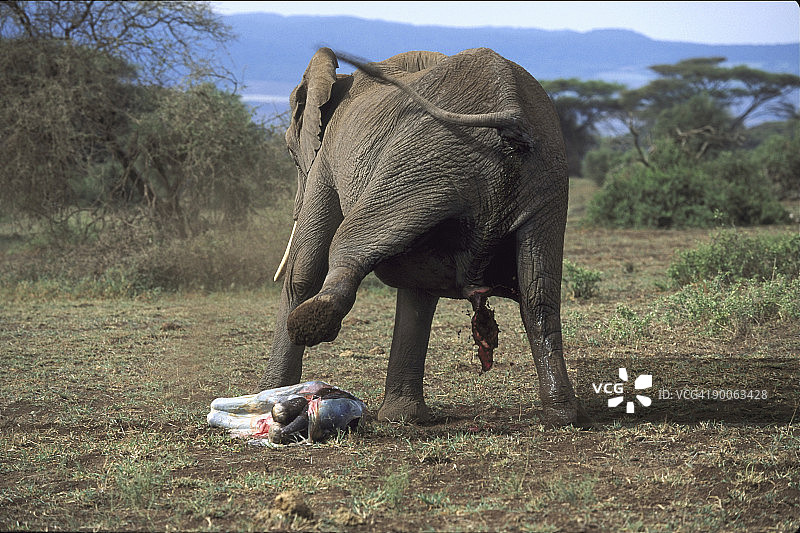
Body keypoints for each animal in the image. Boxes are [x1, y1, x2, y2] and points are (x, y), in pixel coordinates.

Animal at [262, 46, 582, 426]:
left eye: (288, 149)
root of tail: (511, 108)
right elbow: (419, 292)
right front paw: (402, 417)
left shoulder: (327, 160)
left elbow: (303, 271)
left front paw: (270, 395)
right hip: (542, 180)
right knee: (538, 293)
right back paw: (562, 414)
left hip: (420, 164)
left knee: (350, 244)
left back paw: (312, 321)